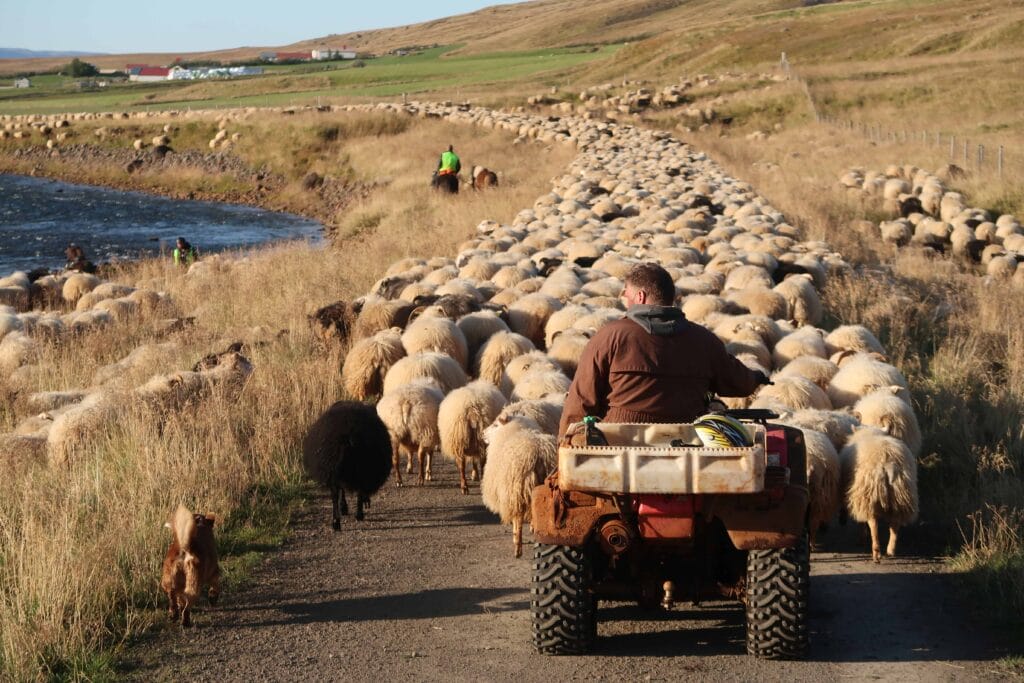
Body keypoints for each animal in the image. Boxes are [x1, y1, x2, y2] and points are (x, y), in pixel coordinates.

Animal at [477, 413, 552, 557]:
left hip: (516, 489)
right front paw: (532, 528)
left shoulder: (509, 493)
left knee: (518, 518)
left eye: (495, 424)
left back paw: (517, 547)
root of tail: (539, 453)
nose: (482, 433)